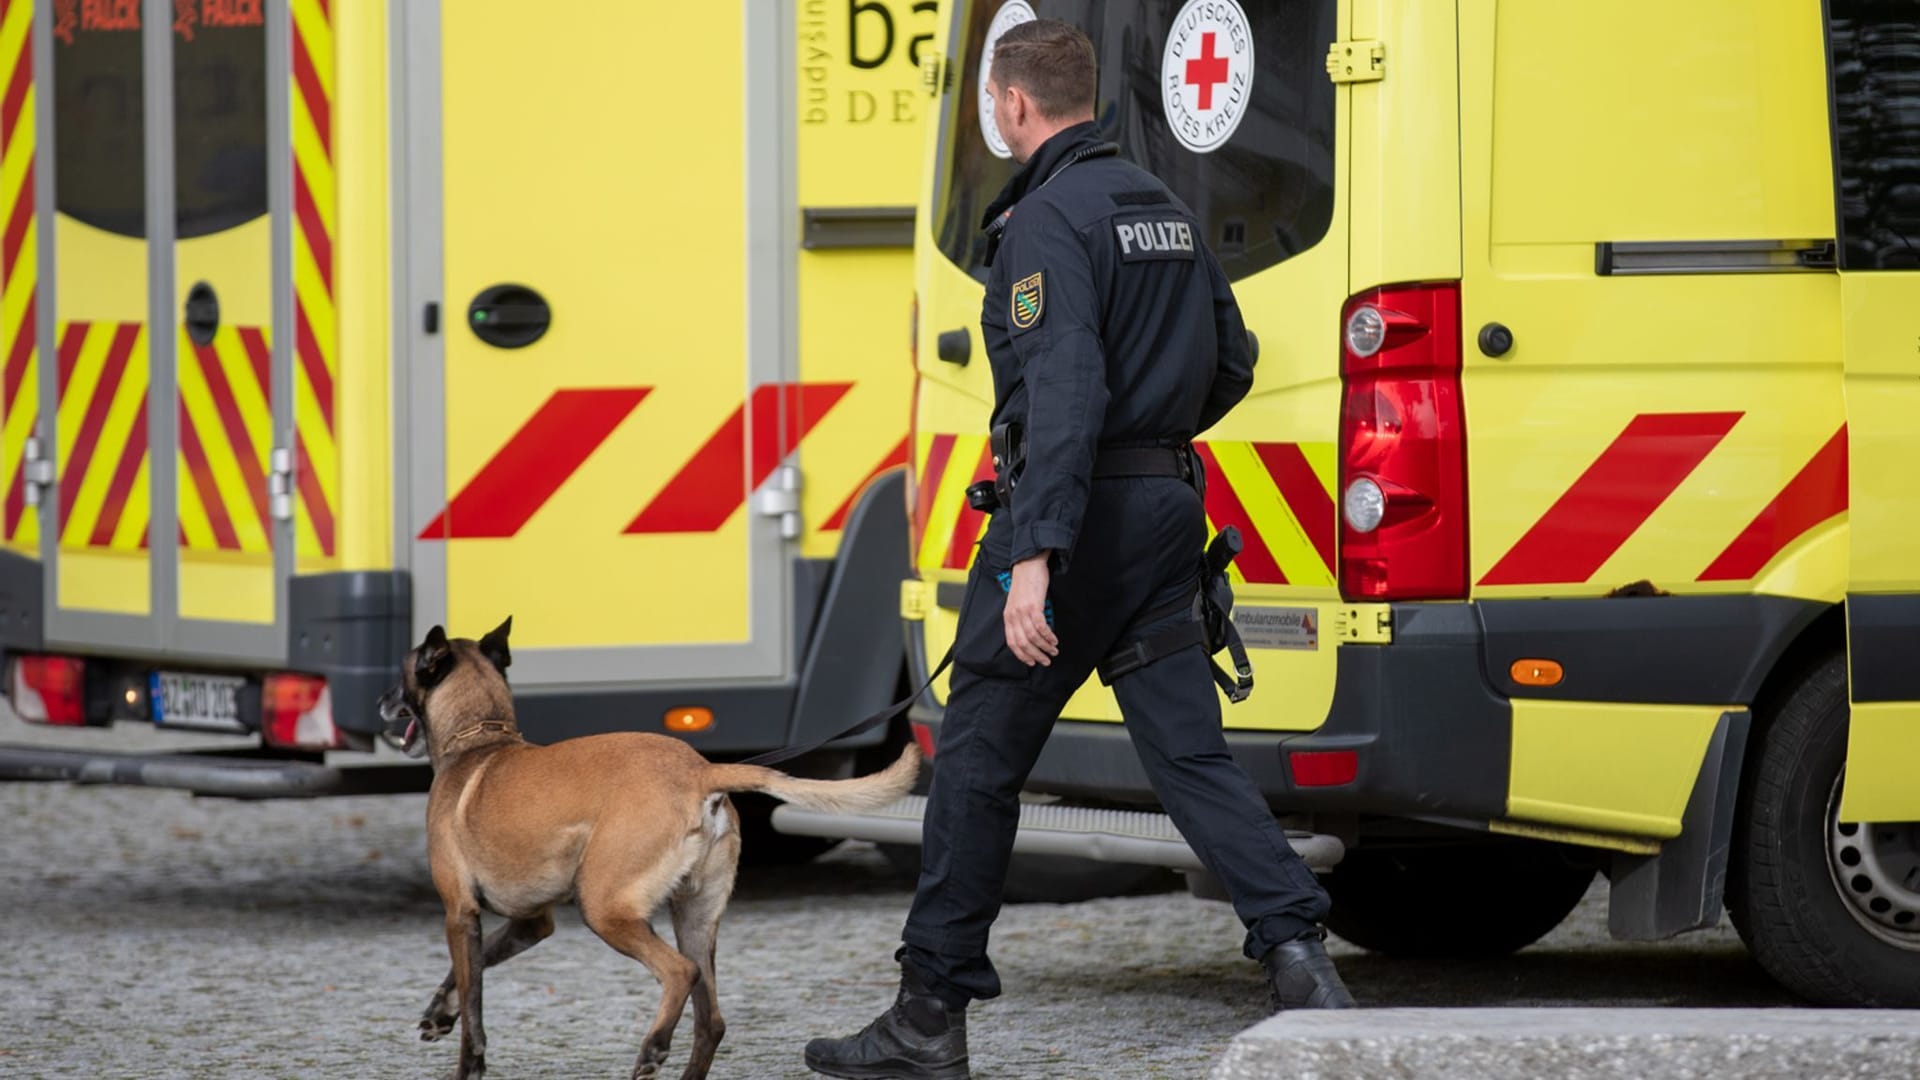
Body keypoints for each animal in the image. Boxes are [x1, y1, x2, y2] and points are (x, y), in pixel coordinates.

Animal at [382, 618, 921, 1076]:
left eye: (401, 676)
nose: (381, 702)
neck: (479, 740)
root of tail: (700, 770)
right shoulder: (529, 923)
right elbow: (466, 975)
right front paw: (438, 1012)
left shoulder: (460, 914)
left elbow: (473, 1009)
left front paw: (465, 1057)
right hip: (694, 918)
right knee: (711, 1020)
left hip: (606, 908)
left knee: (680, 973)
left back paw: (653, 1048)